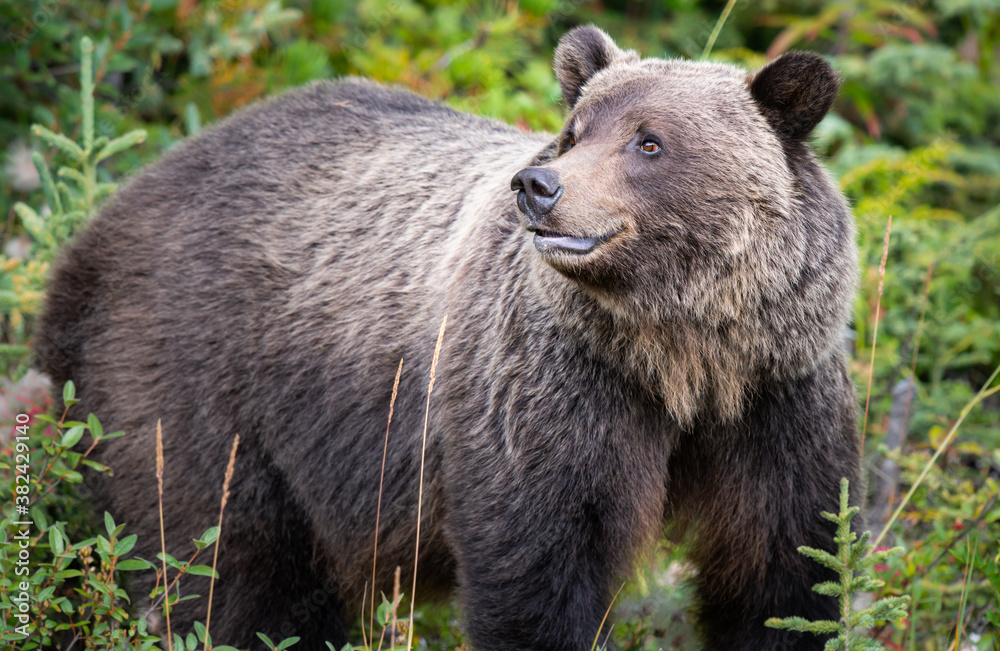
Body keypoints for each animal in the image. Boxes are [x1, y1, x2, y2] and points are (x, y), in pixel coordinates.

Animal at [39, 25, 860, 651]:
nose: (540, 186)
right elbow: (536, 568)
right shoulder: (549, 394)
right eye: (574, 132)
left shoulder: (777, 400)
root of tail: (102, 226)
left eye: (649, 142)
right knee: (223, 563)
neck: (680, 357)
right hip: (198, 381)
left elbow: (783, 571)